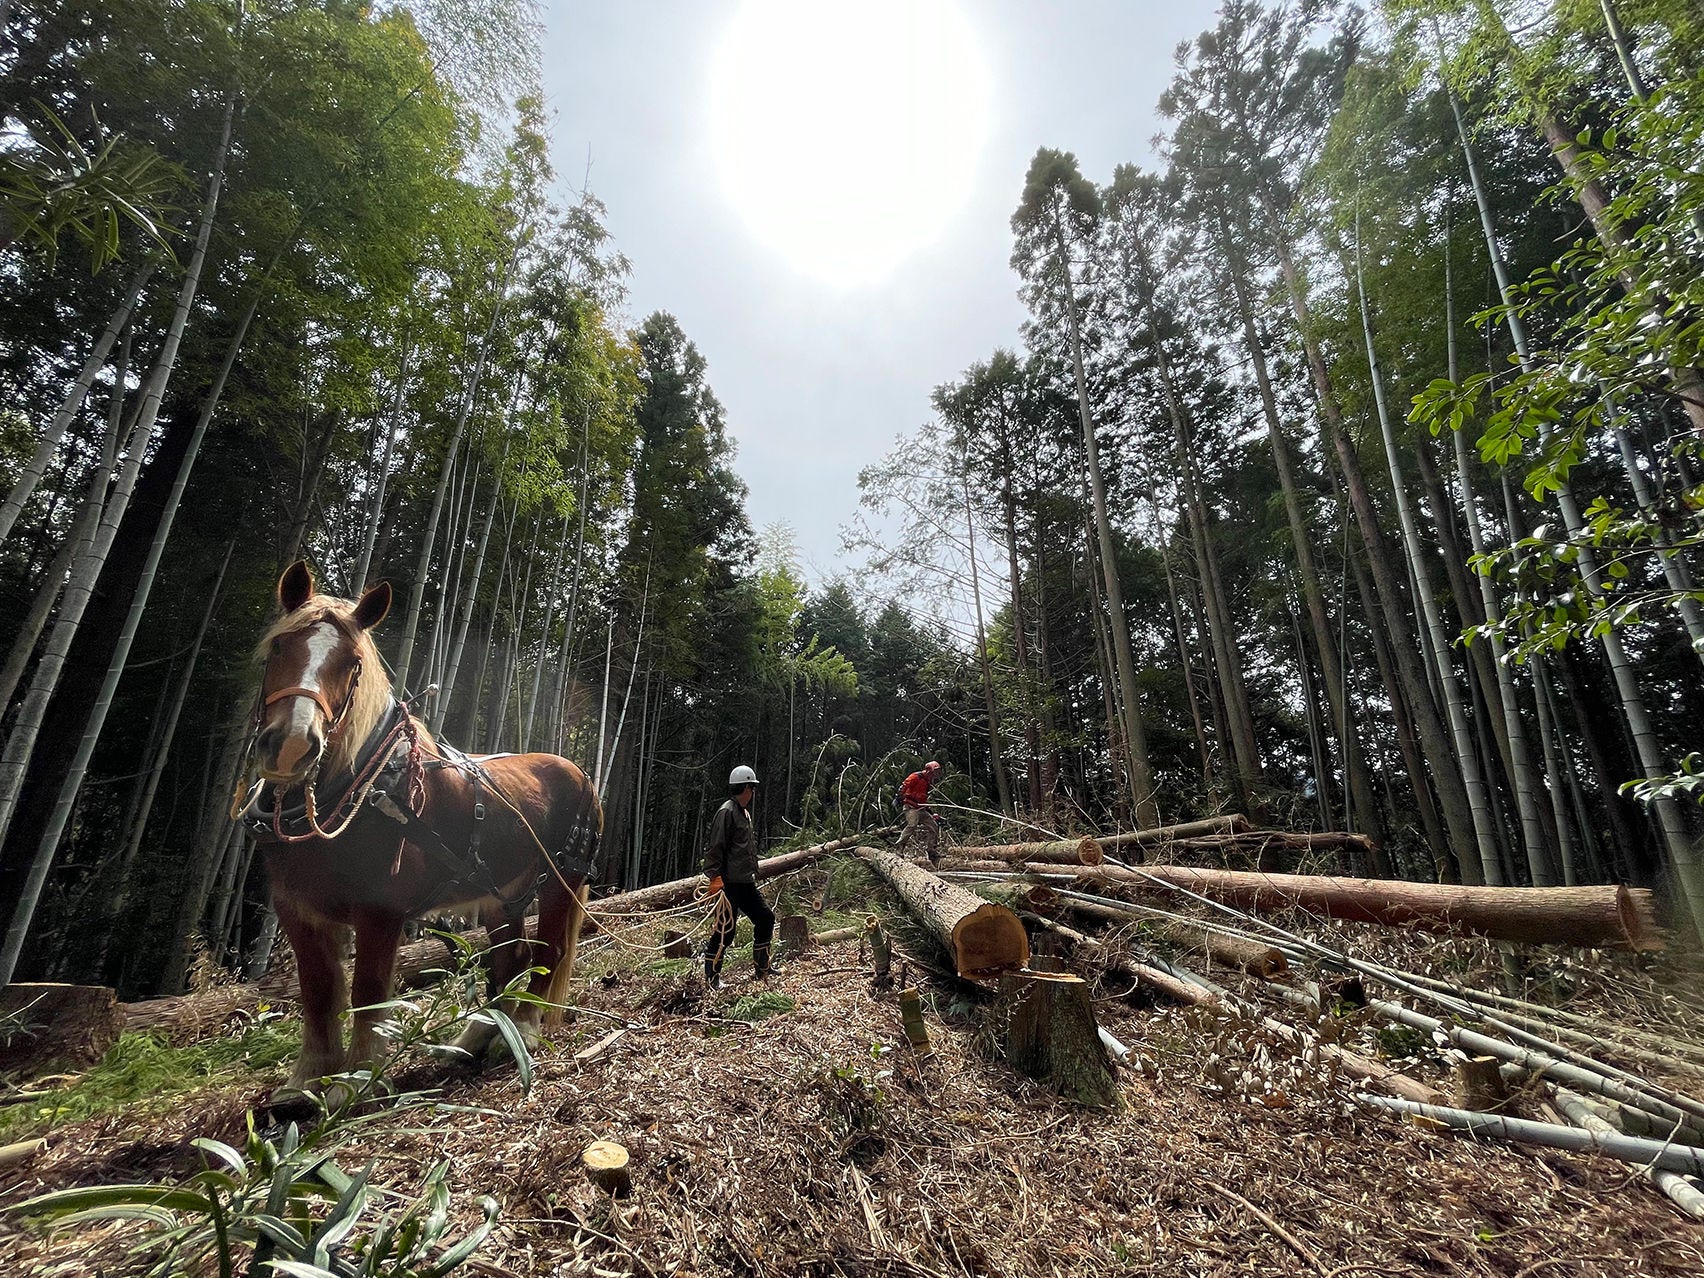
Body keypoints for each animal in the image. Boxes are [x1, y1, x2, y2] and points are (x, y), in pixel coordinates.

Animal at [247, 562, 599, 1104]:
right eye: (281, 646)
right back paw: (479, 1035)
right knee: (509, 959)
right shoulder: (298, 910)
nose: (291, 746)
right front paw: (305, 1081)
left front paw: (355, 1083)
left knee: (548, 953)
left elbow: (369, 992)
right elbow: (318, 991)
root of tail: (578, 771)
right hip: (503, 895)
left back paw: (524, 1032)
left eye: (352, 664)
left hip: (564, 878)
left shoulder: (380, 910)